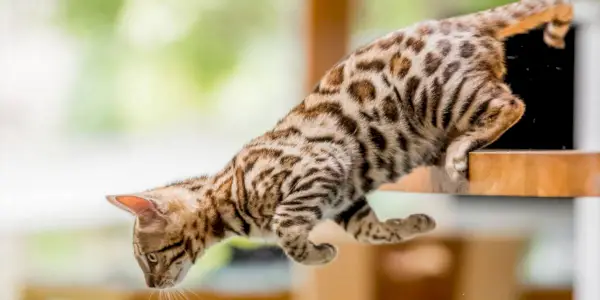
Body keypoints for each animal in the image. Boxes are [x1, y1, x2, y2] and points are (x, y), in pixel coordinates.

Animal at [106, 0, 572, 290]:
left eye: (149, 259)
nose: (151, 285)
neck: (226, 195)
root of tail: (460, 21)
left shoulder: (317, 168)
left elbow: (287, 231)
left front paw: (317, 253)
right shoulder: (346, 196)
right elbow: (370, 232)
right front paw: (410, 226)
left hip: (438, 94)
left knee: (511, 103)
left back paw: (460, 147)